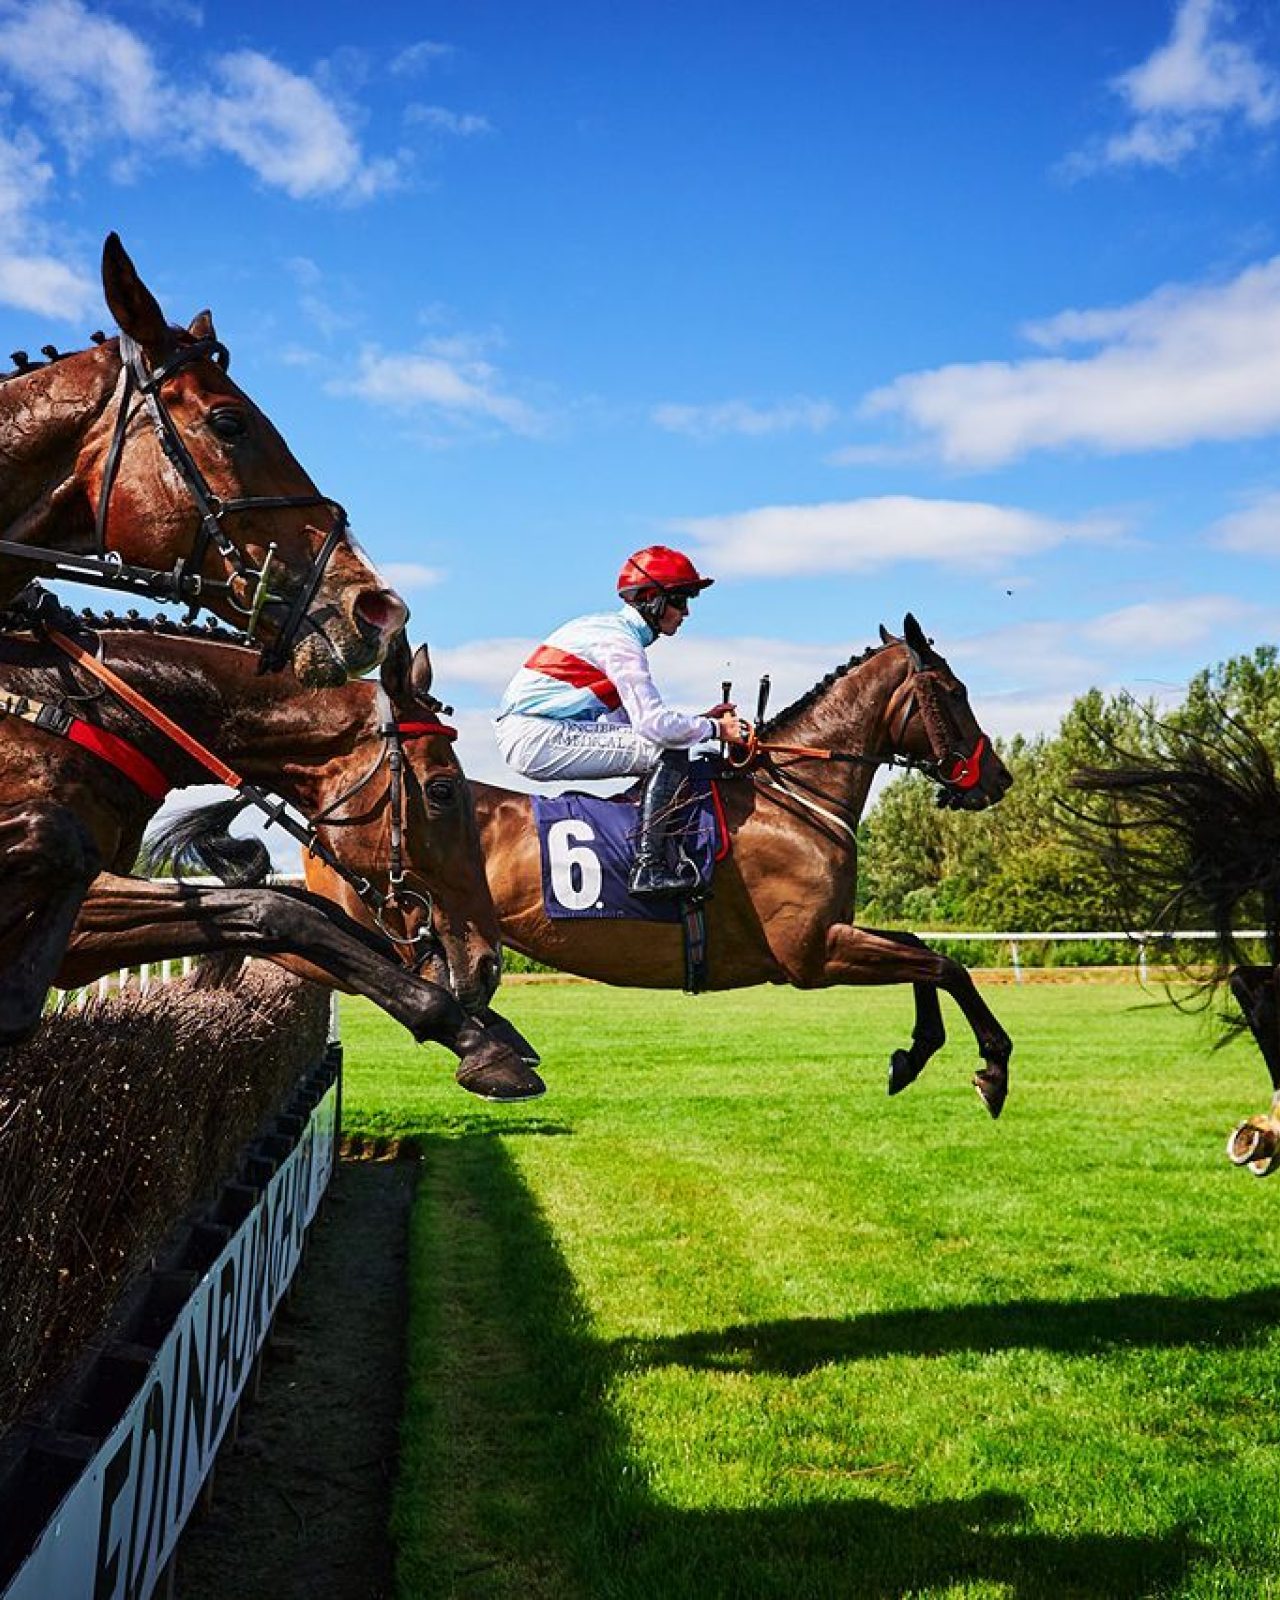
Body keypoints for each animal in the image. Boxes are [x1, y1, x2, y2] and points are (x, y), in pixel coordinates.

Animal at [0, 603, 540, 1100]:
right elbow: (278, 909)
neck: (89, 714)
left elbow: (311, 911)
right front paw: (476, 1042)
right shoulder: (75, 909)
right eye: (442, 790)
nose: (488, 964)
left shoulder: (81, 945)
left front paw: (493, 1027)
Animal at [370, 614, 1017, 1114]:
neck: (795, 796)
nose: (997, 779)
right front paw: (992, 1068)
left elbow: (920, 946)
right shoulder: (810, 955)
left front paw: (913, 1055)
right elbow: (945, 965)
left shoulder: (830, 933)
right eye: (956, 691)